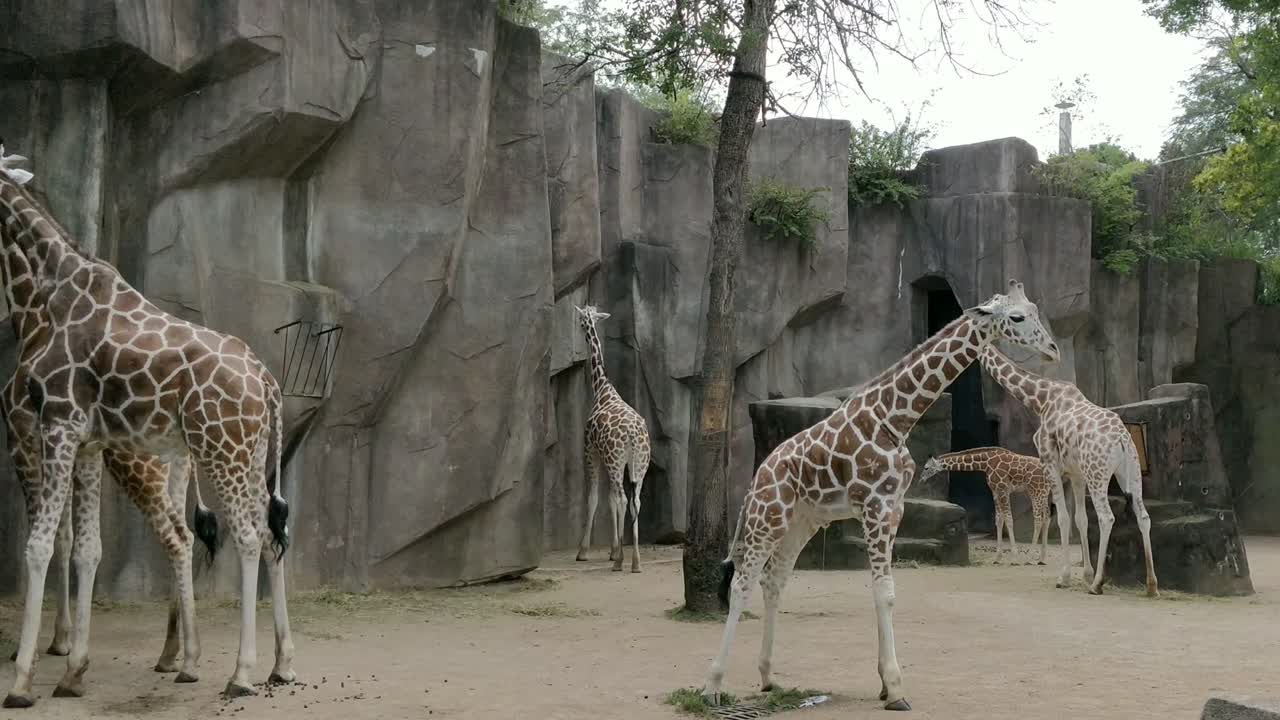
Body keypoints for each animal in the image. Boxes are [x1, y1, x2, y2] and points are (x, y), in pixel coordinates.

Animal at [0, 146, 295, 706]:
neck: (49, 292)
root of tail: (268, 382)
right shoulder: (87, 442)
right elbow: (86, 548)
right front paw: (73, 672)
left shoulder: (54, 425)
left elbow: (40, 545)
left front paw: (23, 680)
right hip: (246, 455)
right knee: (268, 534)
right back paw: (281, 665)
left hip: (218, 449)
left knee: (244, 537)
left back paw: (240, 673)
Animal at [573, 305, 652, 573]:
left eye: (581, 318)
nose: (579, 325)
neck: (602, 388)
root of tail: (633, 434)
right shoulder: (614, 460)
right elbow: (611, 501)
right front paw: (613, 549)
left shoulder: (590, 450)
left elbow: (595, 498)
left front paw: (584, 552)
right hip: (639, 463)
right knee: (635, 500)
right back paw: (635, 562)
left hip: (615, 460)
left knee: (622, 497)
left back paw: (621, 562)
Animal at [919, 447, 1054, 566]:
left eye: (926, 468)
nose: (921, 480)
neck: (986, 463)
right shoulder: (995, 491)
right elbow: (999, 520)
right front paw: (997, 558)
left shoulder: (1003, 490)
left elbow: (1009, 519)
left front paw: (1014, 559)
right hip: (1044, 492)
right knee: (1047, 517)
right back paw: (1042, 559)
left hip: (1035, 491)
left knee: (1038, 519)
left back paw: (1030, 558)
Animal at [978, 342, 1158, 597]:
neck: (1041, 399)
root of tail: (1122, 439)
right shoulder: (1076, 473)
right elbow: (1080, 519)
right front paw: (1085, 574)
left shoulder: (1050, 464)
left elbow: (1062, 517)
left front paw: (1065, 577)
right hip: (1131, 473)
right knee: (1143, 516)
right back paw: (1152, 585)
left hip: (1098, 474)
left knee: (1106, 517)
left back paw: (1098, 584)